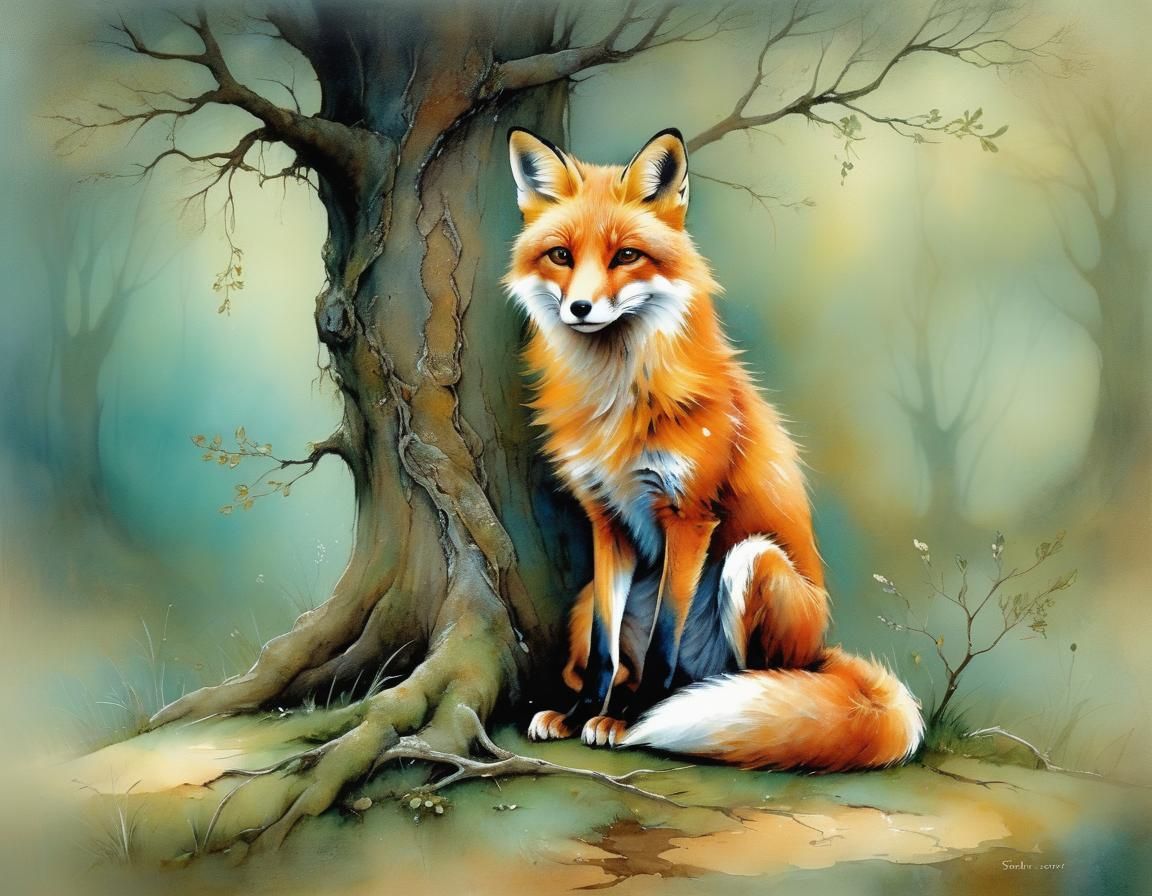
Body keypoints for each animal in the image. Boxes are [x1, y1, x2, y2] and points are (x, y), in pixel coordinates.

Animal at [503, 127, 924, 772]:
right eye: (561, 256)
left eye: (626, 256)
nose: (580, 309)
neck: (617, 399)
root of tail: (821, 652)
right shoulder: (606, 521)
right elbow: (604, 648)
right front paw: (584, 714)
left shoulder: (690, 515)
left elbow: (663, 641)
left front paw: (629, 721)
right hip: (584, 599)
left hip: (754, 563)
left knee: (751, 679)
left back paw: (703, 707)